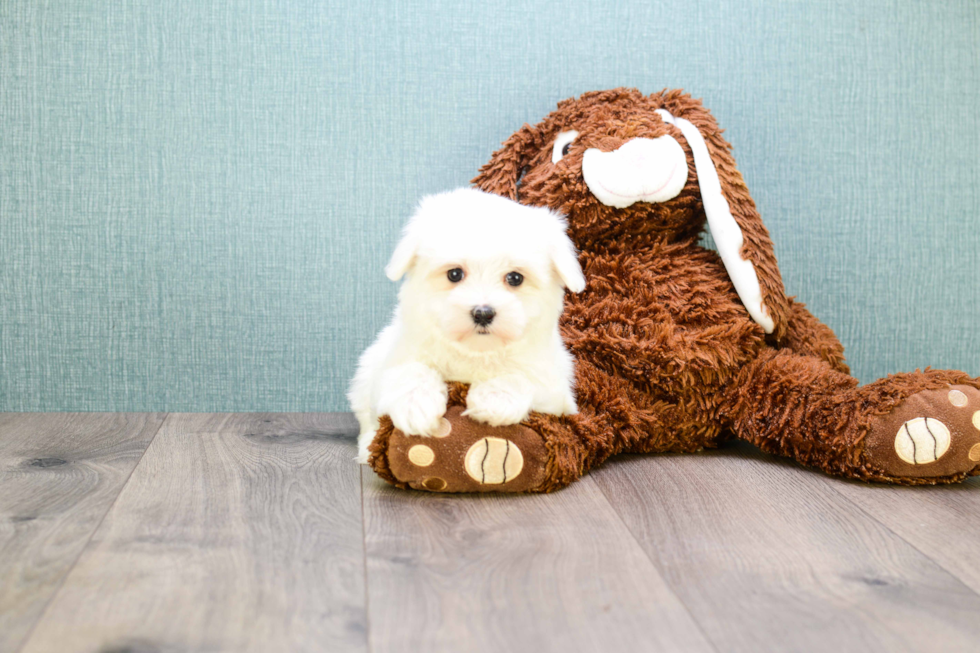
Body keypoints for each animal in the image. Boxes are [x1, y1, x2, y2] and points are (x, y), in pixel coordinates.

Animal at [348, 187, 584, 464]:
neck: (475, 352)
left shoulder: (557, 390)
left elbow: (521, 377)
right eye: (454, 274)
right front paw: (416, 405)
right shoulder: (394, 361)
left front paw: (494, 399)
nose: (482, 313)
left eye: (515, 278)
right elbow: (410, 370)